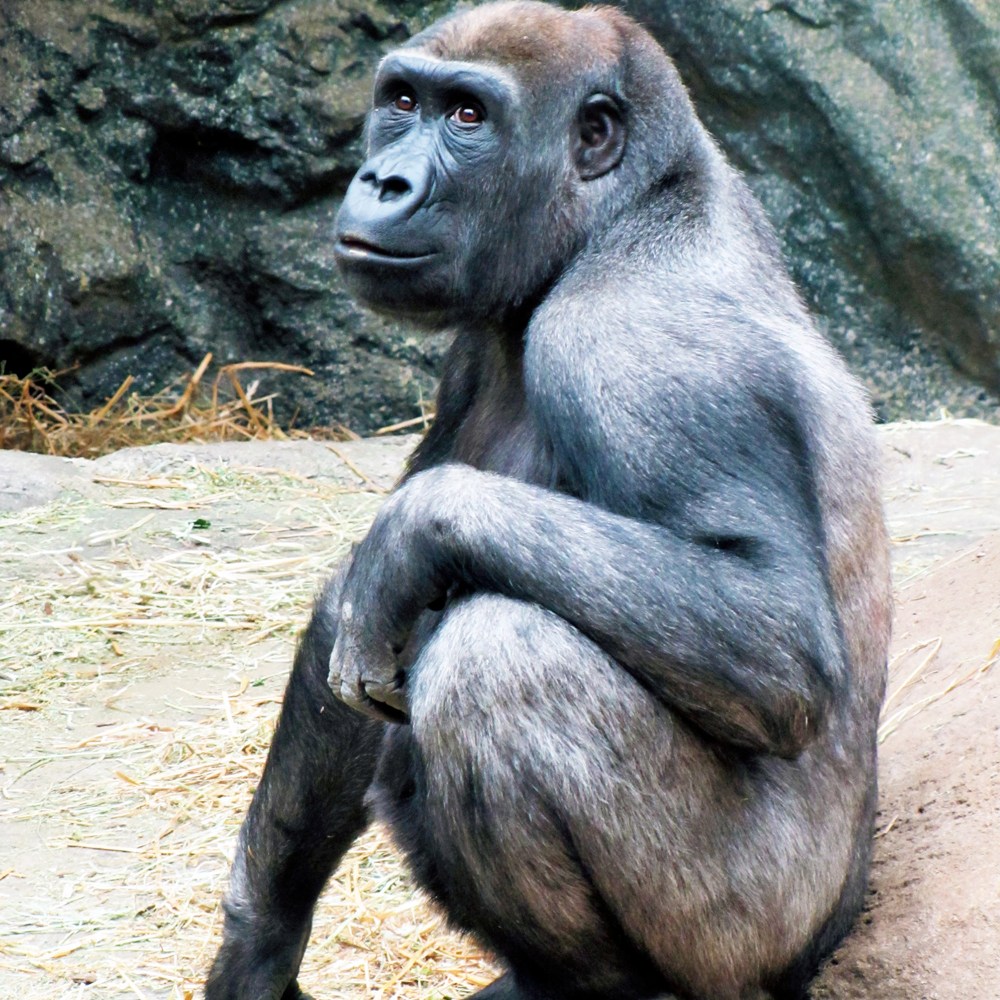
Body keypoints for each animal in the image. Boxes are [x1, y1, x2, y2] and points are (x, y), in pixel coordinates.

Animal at [205, 3, 891, 998]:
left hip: (755, 932)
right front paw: (258, 938)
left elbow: (773, 631)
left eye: (468, 118)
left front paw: (418, 530)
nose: (382, 179)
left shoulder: (635, 336)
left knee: (497, 659)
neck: (625, 210)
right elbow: (349, 622)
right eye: (401, 101)